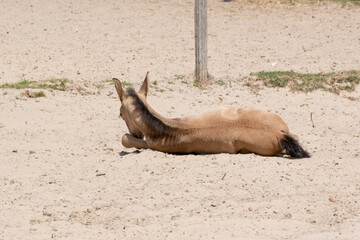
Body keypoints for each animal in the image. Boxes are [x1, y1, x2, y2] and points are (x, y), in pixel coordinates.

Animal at [113, 72, 310, 158]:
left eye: (120, 114)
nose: (137, 133)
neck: (165, 129)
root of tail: (278, 134)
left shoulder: (154, 145)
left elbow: (125, 139)